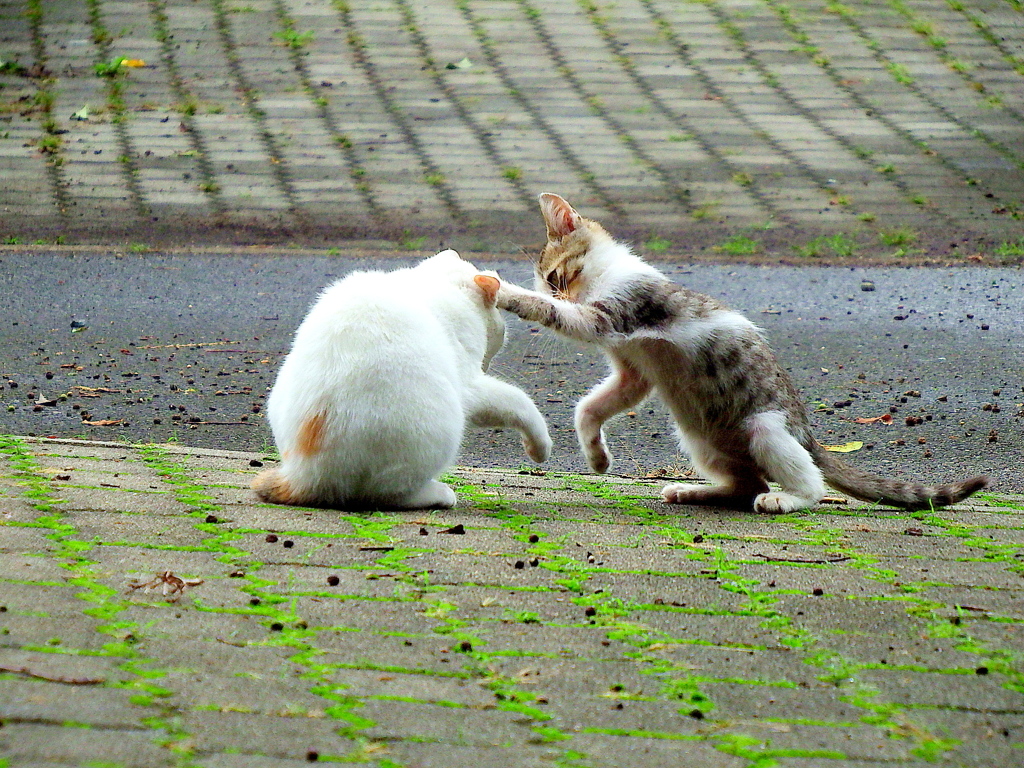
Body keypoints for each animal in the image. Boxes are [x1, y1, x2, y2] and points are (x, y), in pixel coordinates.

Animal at [253, 247, 552, 512]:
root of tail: (304, 475)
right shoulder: (471, 386)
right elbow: (520, 404)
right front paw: (540, 448)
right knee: (386, 495)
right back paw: (439, 494)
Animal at [491, 195, 987, 514]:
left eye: (555, 278)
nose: (556, 290)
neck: (611, 272)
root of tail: (808, 435)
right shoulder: (634, 371)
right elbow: (589, 407)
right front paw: (596, 457)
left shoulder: (615, 314)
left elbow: (561, 316)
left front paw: (504, 292)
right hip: (701, 441)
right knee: (746, 483)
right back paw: (695, 493)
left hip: (765, 428)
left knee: (806, 483)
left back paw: (786, 499)